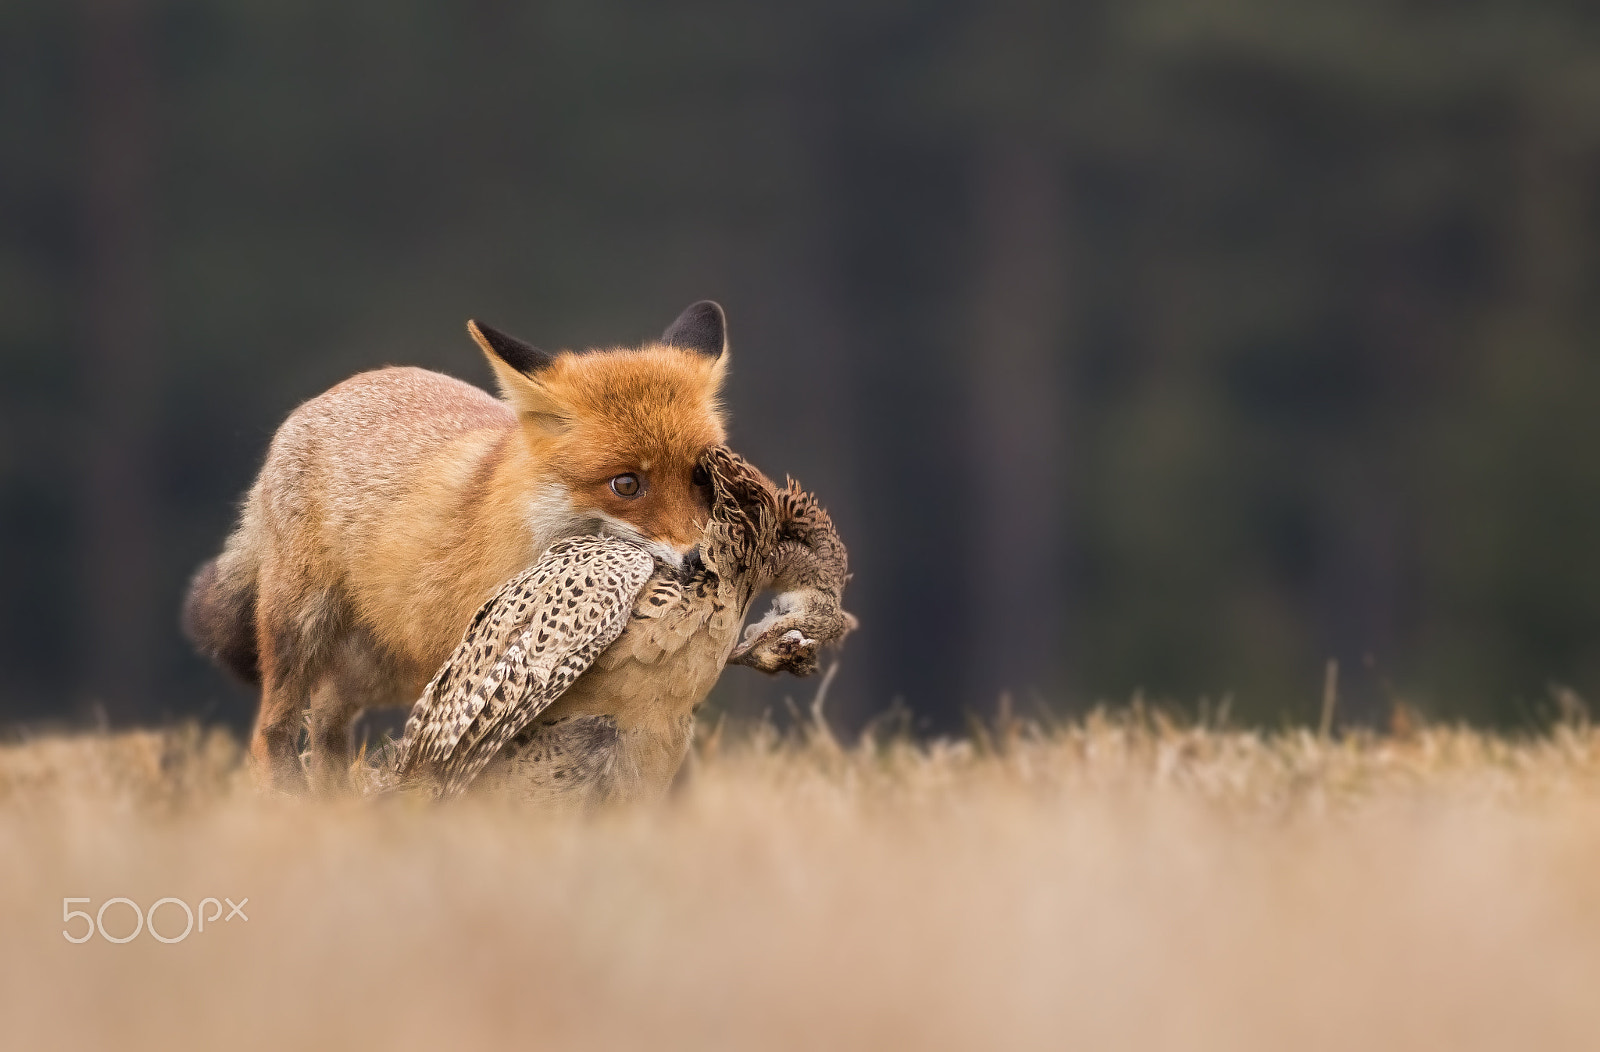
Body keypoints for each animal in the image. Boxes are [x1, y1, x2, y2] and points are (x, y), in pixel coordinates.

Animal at [185, 298, 732, 783]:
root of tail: (322, 399)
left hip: (379, 670)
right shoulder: (471, 668)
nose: (699, 560)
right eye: (626, 484)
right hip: (303, 630)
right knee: (272, 737)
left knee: (325, 730)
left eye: (702, 475)